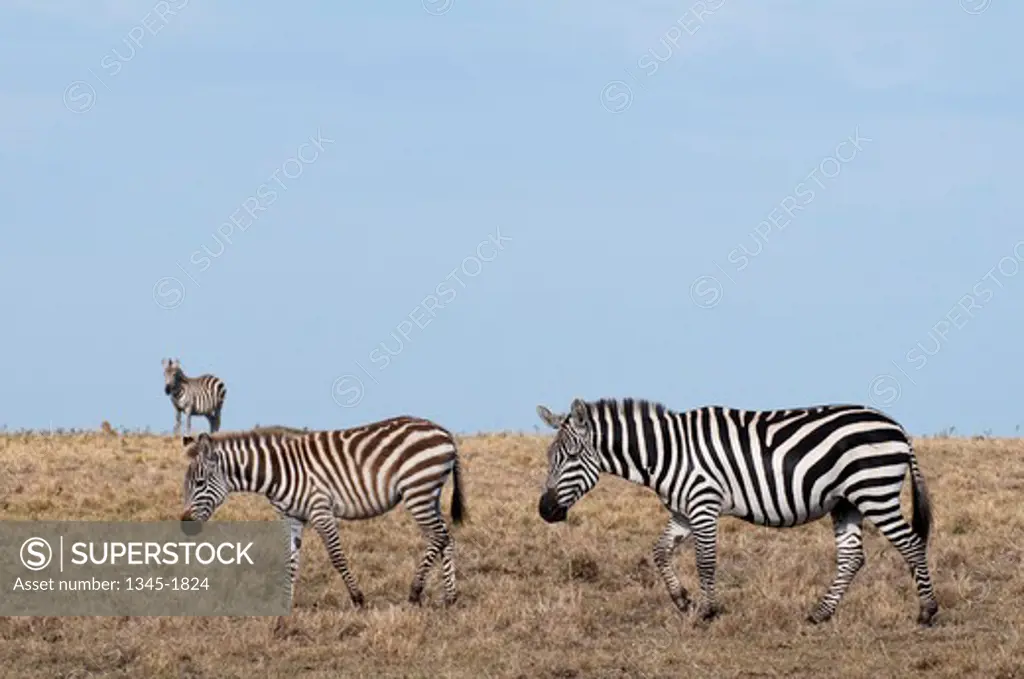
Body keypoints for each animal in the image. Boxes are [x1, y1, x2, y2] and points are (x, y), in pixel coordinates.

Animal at [178, 417, 466, 614]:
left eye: (200, 483)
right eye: (186, 485)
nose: (185, 525)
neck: (278, 472)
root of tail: (444, 432)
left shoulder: (320, 511)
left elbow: (337, 557)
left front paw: (358, 599)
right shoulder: (293, 519)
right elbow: (291, 561)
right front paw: (285, 604)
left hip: (418, 490)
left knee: (438, 536)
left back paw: (416, 592)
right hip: (429, 494)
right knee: (447, 537)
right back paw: (450, 597)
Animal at [536, 399, 937, 626]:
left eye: (572, 456)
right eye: (550, 457)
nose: (545, 511)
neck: (667, 452)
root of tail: (896, 426)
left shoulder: (703, 504)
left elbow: (706, 561)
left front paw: (708, 612)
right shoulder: (683, 512)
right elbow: (660, 552)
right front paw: (683, 600)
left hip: (875, 492)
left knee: (912, 544)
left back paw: (927, 612)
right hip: (846, 502)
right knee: (852, 557)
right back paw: (820, 614)